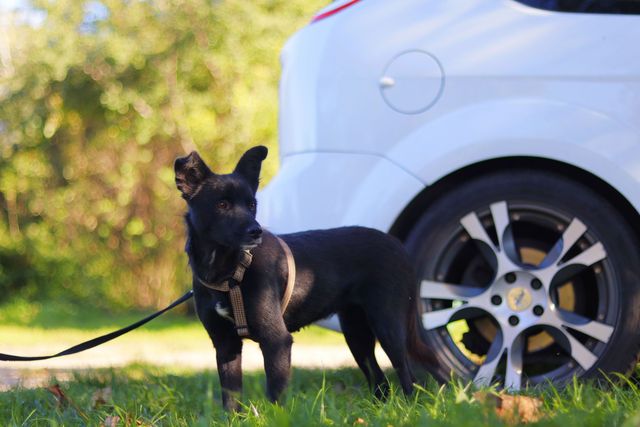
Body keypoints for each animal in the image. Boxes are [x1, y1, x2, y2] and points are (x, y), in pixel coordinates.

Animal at [174, 146, 435, 411]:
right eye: (222, 204)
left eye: (251, 204)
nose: (256, 231)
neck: (230, 271)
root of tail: (396, 244)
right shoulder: (225, 344)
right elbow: (231, 400)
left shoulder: (277, 341)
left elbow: (276, 396)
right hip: (356, 332)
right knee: (380, 380)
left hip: (388, 324)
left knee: (407, 376)